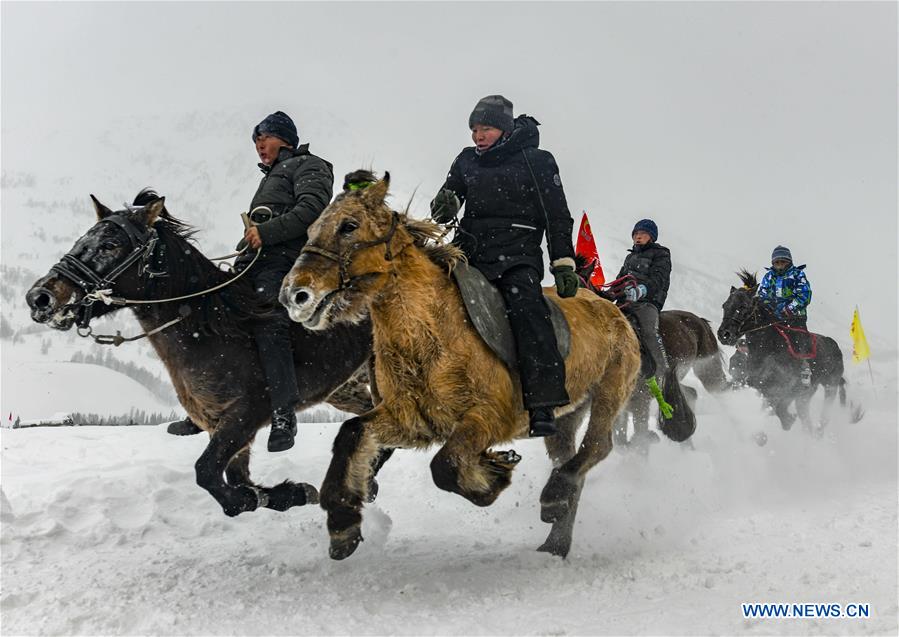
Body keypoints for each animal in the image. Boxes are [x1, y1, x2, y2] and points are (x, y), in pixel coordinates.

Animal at [26, 189, 374, 516]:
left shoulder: (245, 416)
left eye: (110, 245)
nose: (40, 298)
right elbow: (236, 481)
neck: (215, 328)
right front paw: (288, 493)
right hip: (346, 390)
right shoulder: (219, 424)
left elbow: (208, 474)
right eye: (81, 240)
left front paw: (281, 493)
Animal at [282, 173, 640, 556]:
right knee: (572, 460)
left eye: (348, 226)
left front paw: (494, 475)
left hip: (609, 392)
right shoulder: (411, 420)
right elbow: (351, 434)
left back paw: (553, 498)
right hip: (567, 415)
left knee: (597, 446)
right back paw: (555, 540)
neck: (431, 334)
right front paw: (342, 523)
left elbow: (446, 466)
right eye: (311, 229)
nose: (294, 295)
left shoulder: (488, 417)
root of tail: (611, 307)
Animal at [716, 270, 852, 432]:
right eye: (724, 305)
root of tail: (835, 346)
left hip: (830, 386)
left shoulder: (777, 391)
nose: (724, 334)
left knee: (823, 415)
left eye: (743, 306)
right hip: (805, 395)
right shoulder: (755, 384)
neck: (769, 350)